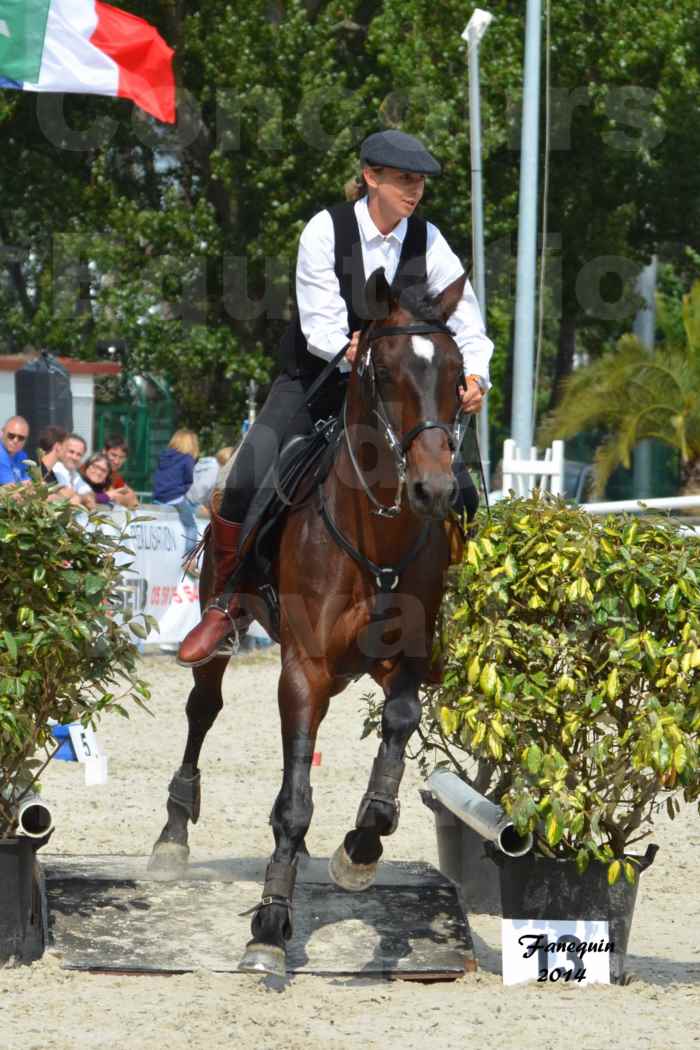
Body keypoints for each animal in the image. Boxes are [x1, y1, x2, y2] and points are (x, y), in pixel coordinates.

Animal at [149, 268, 465, 974]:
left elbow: (397, 732)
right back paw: (173, 834)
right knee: (203, 711)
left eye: (459, 374)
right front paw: (269, 925)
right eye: (383, 371)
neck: (377, 534)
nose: (434, 489)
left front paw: (361, 848)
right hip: (224, 623)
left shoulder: (403, 659)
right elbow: (295, 803)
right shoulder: (304, 669)